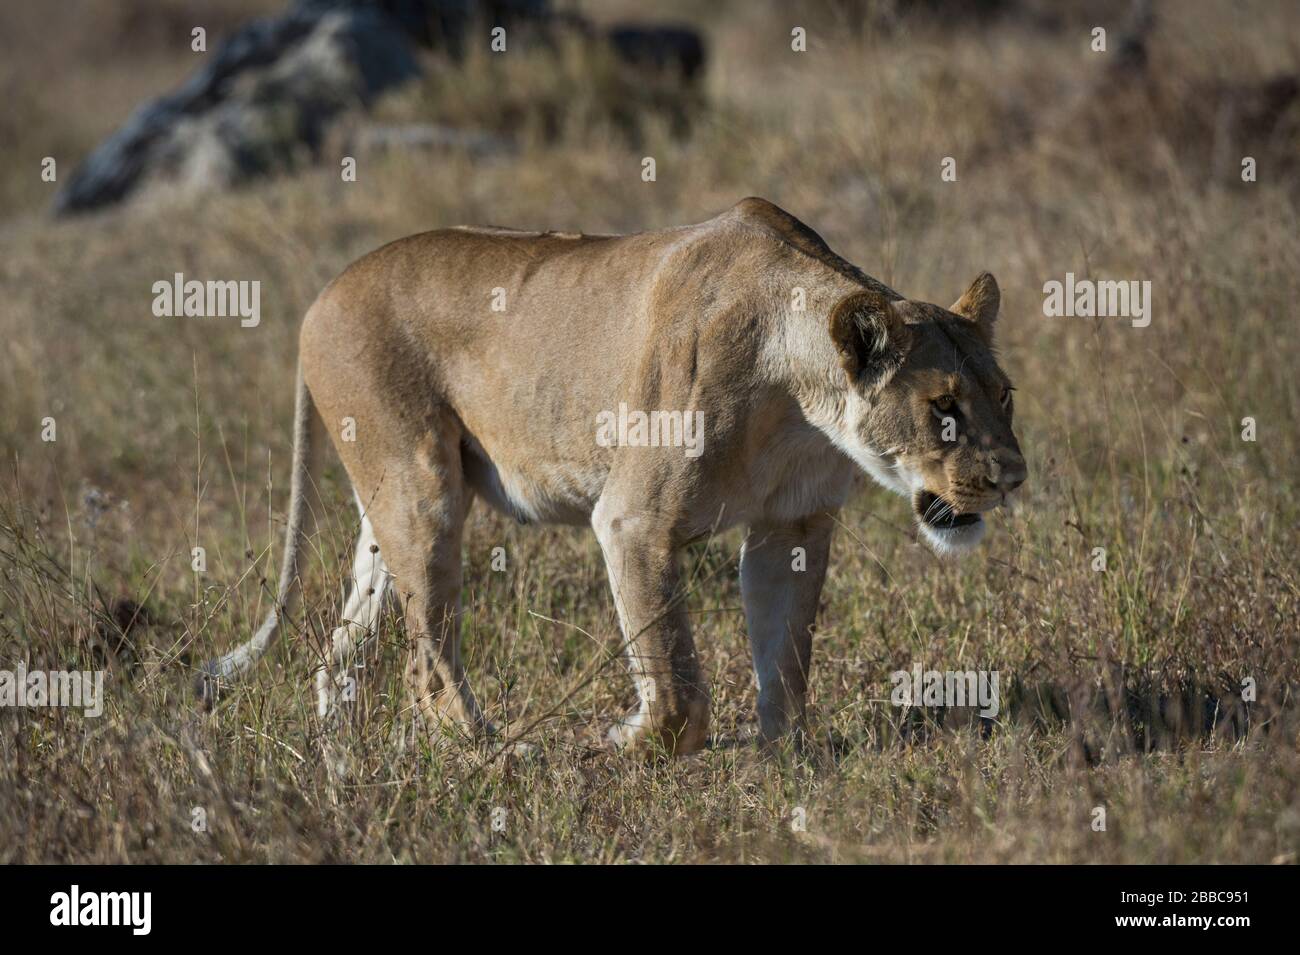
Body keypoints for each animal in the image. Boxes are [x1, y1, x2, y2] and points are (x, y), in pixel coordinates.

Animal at [195, 197, 1024, 758]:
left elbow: (786, 660)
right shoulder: (633, 521)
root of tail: (322, 295)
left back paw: (340, 765)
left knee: (338, 657)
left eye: (1004, 394)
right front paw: (623, 740)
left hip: (386, 508)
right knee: (427, 668)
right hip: (421, 492)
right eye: (943, 406)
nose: (1011, 477)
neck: (802, 395)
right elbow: (678, 690)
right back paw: (504, 756)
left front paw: (783, 763)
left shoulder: (791, 526)